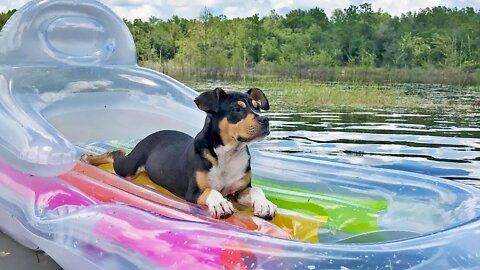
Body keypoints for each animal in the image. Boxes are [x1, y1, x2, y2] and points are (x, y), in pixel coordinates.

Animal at [82, 87, 278, 219]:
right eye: (236, 109)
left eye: (258, 107)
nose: (265, 120)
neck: (228, 153)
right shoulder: (193, 192)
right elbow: (211, 190)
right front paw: (220, 203)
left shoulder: (240, 190)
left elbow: (257, 189)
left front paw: (265, 205)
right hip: (129, 167)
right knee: (116, 153)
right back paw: (89, 158)